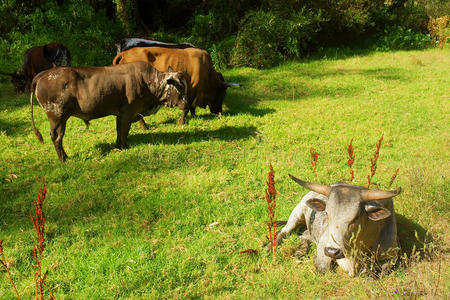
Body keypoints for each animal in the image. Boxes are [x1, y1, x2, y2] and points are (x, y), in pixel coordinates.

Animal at [29, 61, 187, 163]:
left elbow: (119, 131)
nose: (186, 104)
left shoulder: (120, 114)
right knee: (56, 137)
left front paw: (118, 146)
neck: (148, 82)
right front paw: (124, 146)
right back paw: (63, 159)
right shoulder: (128, 113)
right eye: (180, 87)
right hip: (57, 117)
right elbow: (124, 131)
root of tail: (43, 74)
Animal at [111, 46, 239, 126]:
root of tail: (124, 53)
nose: (220, 112)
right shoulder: (190, 90)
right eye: (222, 93)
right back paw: (145, 127)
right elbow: (187, 107)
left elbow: (191, 107)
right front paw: (182, 122)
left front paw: (193, 116)